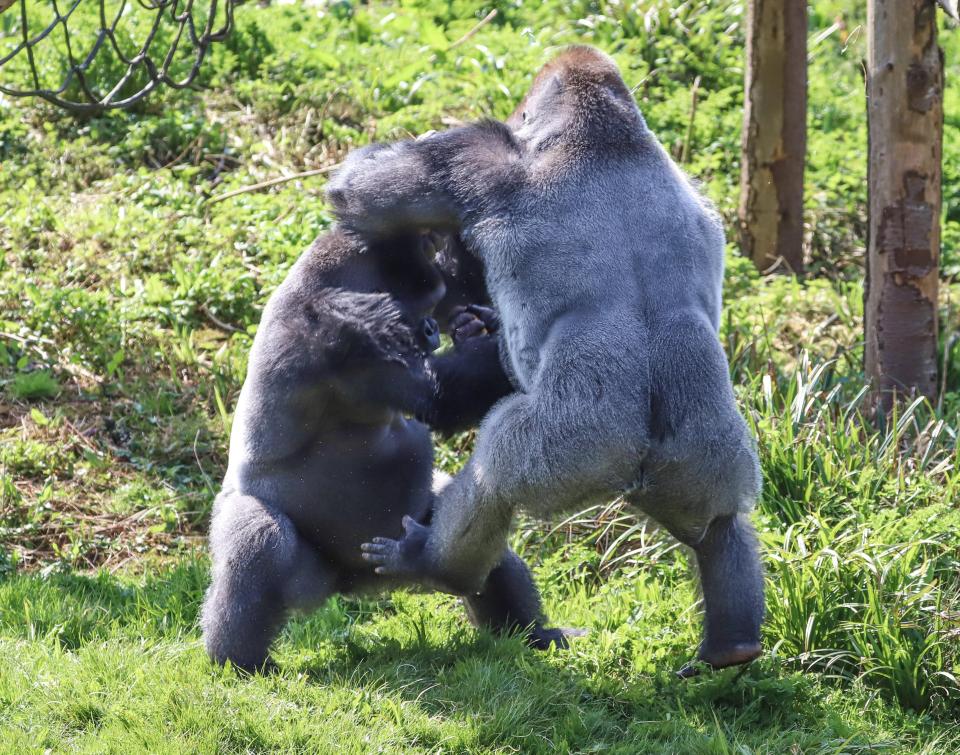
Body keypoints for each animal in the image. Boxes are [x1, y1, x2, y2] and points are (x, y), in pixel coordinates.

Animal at [201, 226, 564, 672]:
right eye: (419, 307)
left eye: (433, 304)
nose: (433, 328)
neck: (320, 283)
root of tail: (351, 584)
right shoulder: (346, 326)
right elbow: (439, 398)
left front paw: (485, 325)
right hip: (297, 558)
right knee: (261, 540)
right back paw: (238, 659)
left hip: (401, 555)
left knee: (477, 544)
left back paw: (530, 634)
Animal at [328, 45, 764, 672]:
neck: (606, 136)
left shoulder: (476, 157)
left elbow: (359, 193)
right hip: (704, 454)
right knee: (719, 522)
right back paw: (733, 642)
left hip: (576, 448)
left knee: (495, 477)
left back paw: (433, 563)